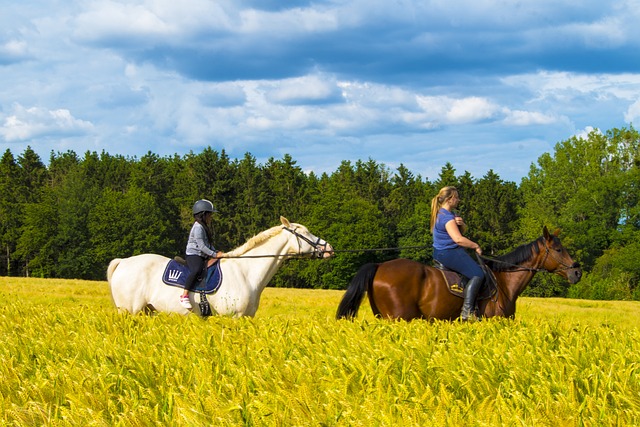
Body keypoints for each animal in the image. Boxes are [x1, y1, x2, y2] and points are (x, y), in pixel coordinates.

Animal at [107, 217, 332, 318]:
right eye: (305, 233)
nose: (328, 248)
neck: (246, 272)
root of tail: (123, 262)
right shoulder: (233, 317)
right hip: (129, 311)